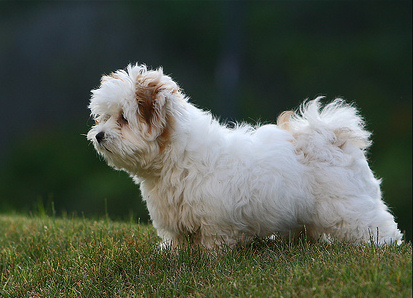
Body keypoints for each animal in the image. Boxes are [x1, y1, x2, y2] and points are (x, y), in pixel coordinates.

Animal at [87, 64, 402, 248]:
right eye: (103, 118)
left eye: (123, 119)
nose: (99, 135)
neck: (175, 157)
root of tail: (332, 137)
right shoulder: (173, 214)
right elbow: (178, 240)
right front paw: (173, 254)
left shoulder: (216, 218)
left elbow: (214, 241)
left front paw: (208, 259)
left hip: (347, 207)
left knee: (373, 224)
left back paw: (384, 245)